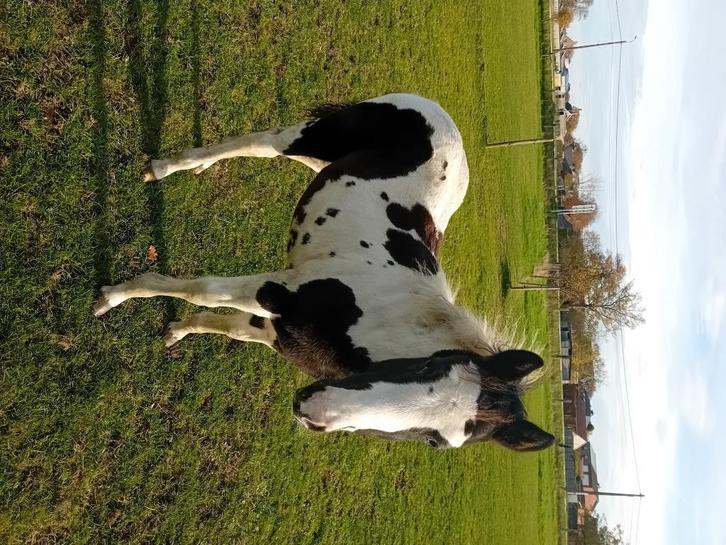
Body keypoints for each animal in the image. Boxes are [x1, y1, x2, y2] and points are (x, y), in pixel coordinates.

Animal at [93, 93, 555, 451]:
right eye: (430, 369)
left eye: (435, 441)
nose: (313, 411)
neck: (387, 320)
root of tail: (439, 114)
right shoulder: (277, 289)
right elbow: (201, 289)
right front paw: (114, 296)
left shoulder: (277, 329)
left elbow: (226, 324)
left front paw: (178, 331)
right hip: (309, 136)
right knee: (259, 143)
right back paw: (166, 167)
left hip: (322, 164)